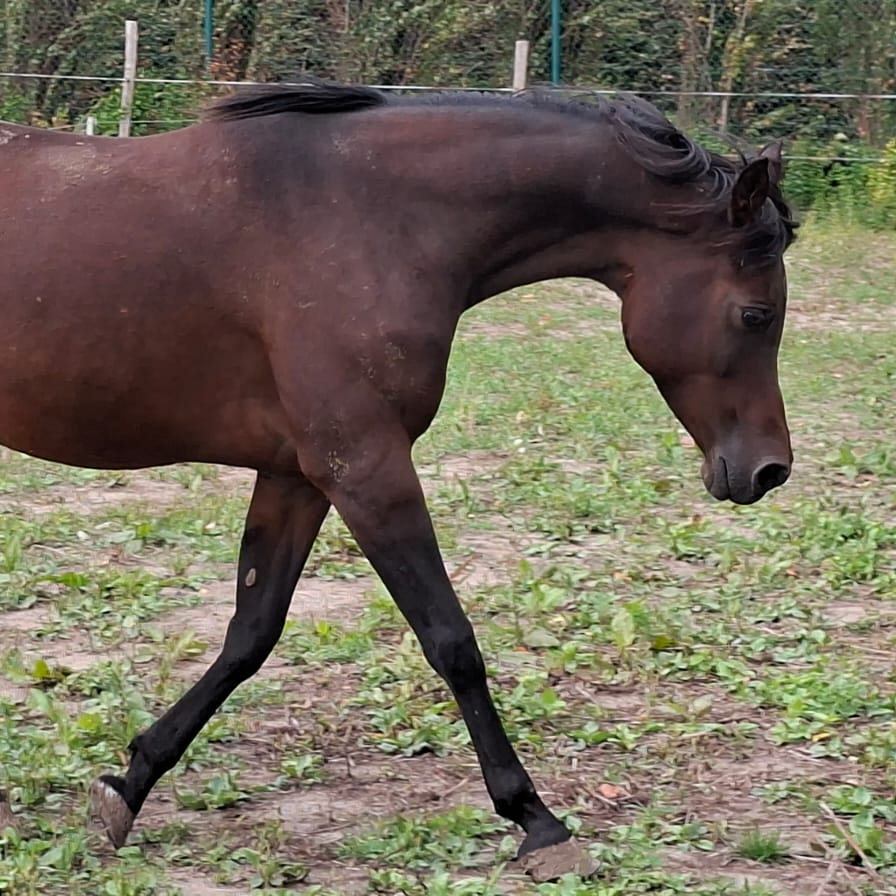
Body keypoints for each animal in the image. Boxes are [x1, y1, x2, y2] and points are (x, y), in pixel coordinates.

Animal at [0, 80, 796, 877]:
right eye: (755, 314)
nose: (769, 468)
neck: (371, 217)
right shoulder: (367, 469)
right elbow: (451, 640)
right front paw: (536, 820)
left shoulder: (297, 476)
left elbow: (250, 634)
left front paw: (129, 781)